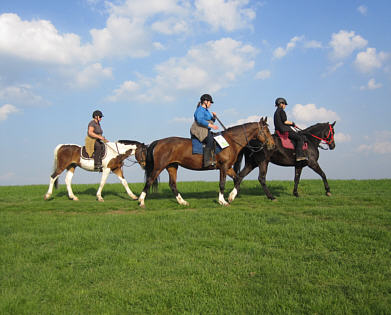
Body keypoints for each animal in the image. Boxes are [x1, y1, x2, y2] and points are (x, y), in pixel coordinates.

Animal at [139, 117, 276, 209]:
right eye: (267, 131)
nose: (273, 145)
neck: (231, 142)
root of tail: (159, 141)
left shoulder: (228, 167)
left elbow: (238, 179)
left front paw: (231, 196)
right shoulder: (223, 167)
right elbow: (222, 184)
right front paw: (222, 201)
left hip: (172, 166)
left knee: (172, 184)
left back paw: (182, 202)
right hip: (159, 167)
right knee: (149, 180)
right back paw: (141, 201)